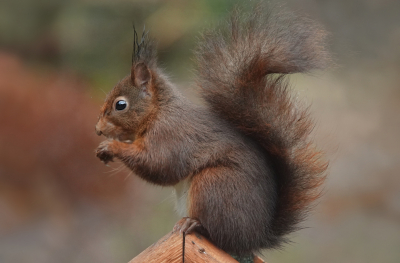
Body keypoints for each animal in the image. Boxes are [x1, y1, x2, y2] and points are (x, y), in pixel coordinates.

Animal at [96, 3, 328, 258]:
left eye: (120, 105)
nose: (98, 130)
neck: (158, 112)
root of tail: (255, 237)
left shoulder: (171, 135)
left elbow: (159, 165)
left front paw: (112, 146)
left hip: (214, 184)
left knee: (217, 232)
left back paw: (194, 223)